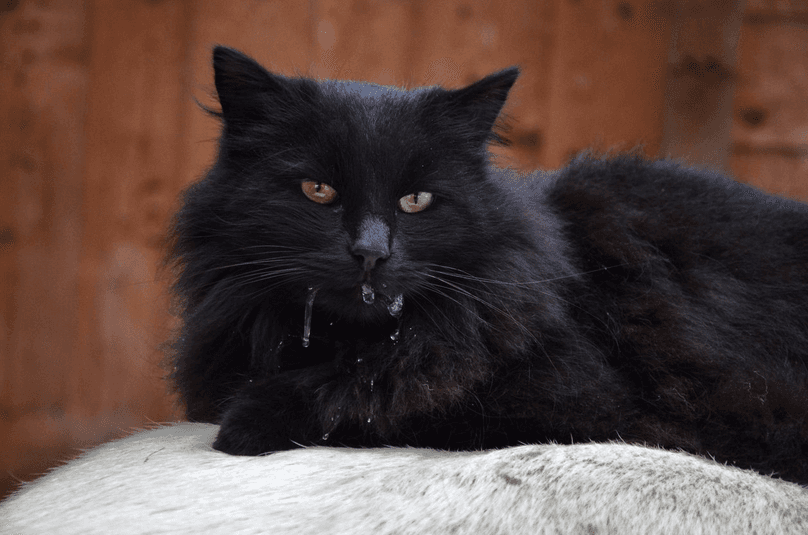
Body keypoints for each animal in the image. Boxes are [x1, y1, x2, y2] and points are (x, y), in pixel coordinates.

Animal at [166, 46, 808, 486]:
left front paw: (246, 423)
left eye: (416, 200)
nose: (371, 252)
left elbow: (379, 396)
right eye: (318, 190)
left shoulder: (577, 404)